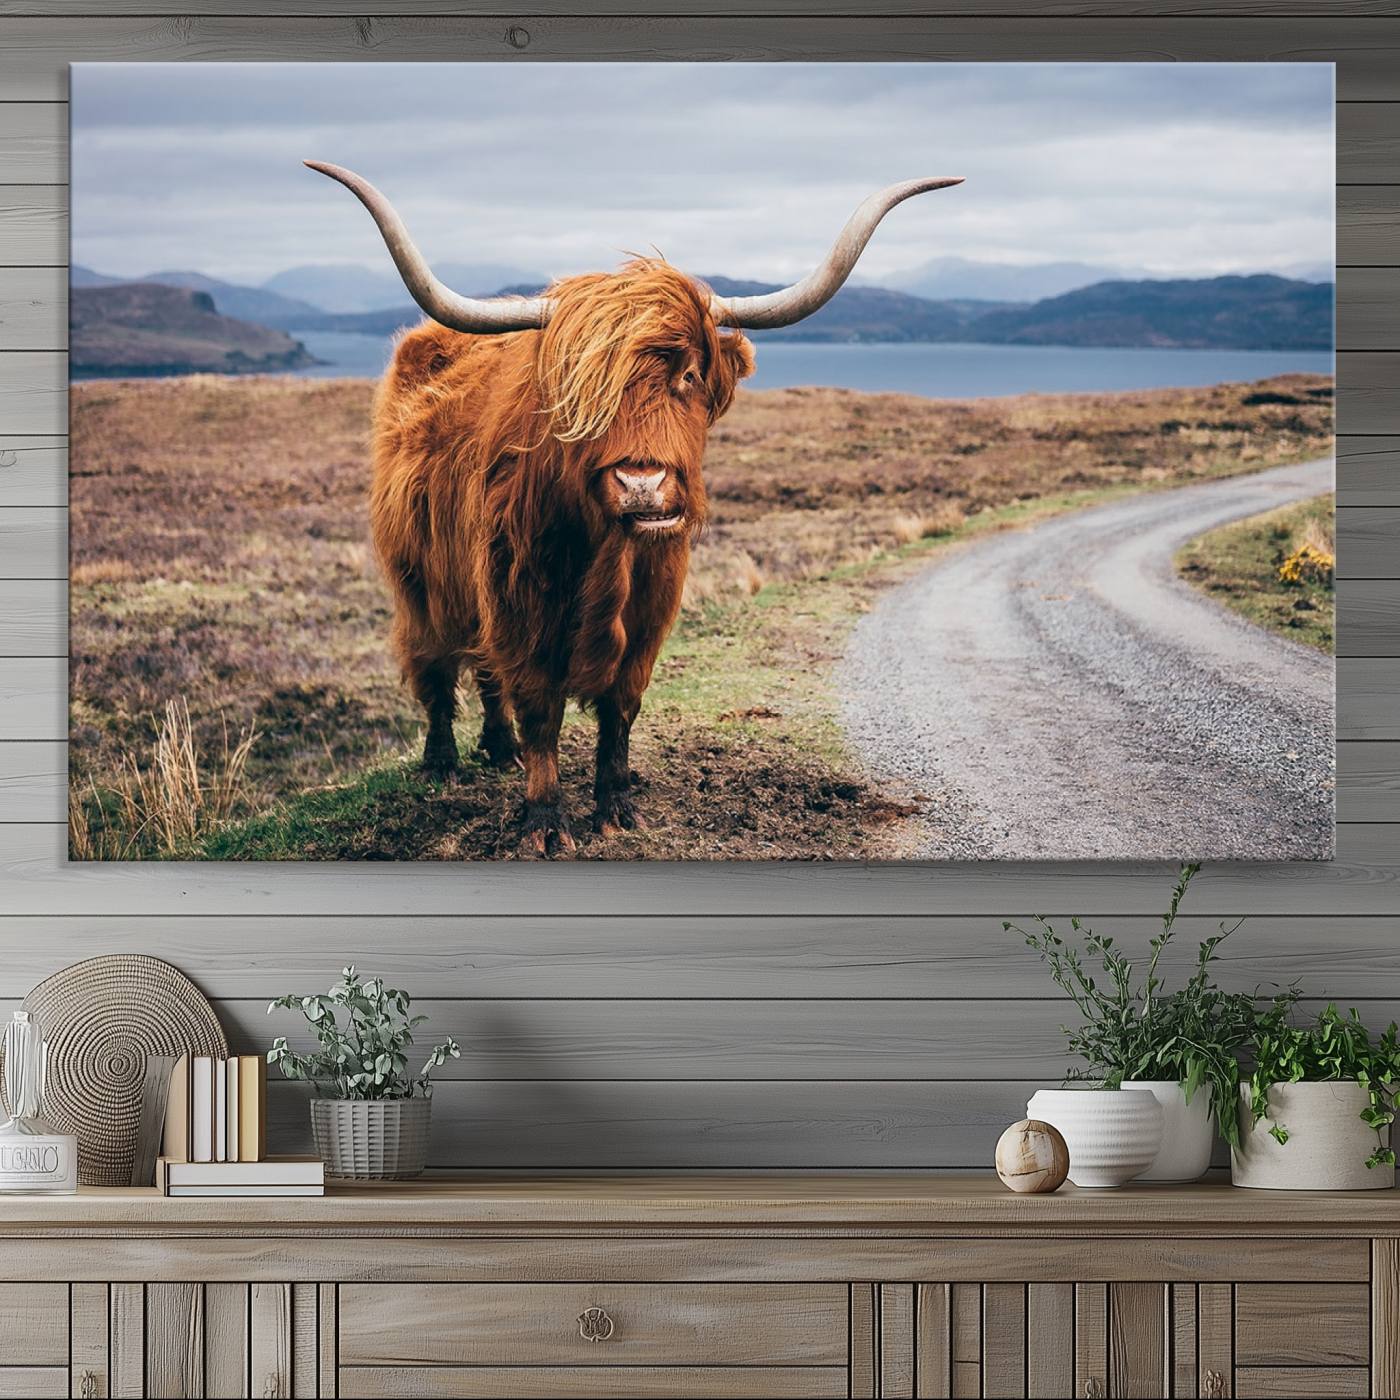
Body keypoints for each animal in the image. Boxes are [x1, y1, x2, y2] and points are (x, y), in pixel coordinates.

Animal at [306, 161, 962, 855]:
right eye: (579, 389)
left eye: (690, 375)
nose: (641, 484)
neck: (606, 556)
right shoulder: (517, 601)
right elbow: (539, 707)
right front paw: (545, 821)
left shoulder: (650, 610)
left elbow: (620, 707)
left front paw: (617, 807)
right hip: (419, 578)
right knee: (434, 664)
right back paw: (442, 763)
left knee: (484, 674)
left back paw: (499, 749)